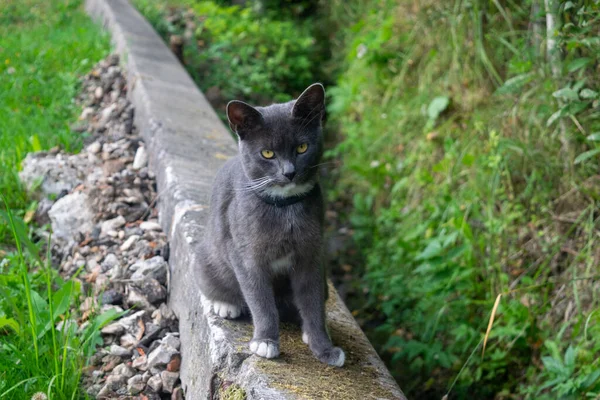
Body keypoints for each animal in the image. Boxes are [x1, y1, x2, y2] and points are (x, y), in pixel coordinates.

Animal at [197, 83, 344, 366]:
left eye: (302, 147)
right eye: (267, 153)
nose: (289, 172)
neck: (285, 209)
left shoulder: (311, 256)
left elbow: (312, 302)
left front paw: (324, 348)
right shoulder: (246, 256)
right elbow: (261, 301)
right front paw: (265, 342)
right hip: (205, 258)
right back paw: (226, 305)